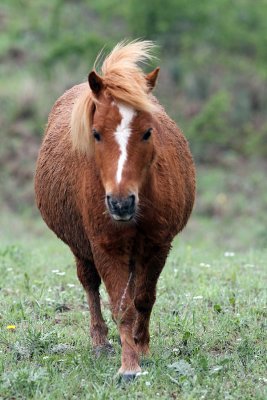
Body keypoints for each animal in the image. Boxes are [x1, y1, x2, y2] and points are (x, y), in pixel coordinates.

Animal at [34, 39, 196, 378]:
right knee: (90, 284)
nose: (121, 203)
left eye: (148, 131)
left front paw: (141, 348)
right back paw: (100, 343)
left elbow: (143, 299)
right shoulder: (105, 248)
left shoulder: (158, 246)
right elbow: (121, 307)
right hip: (82, 248)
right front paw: (129, 366)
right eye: (96, 133)